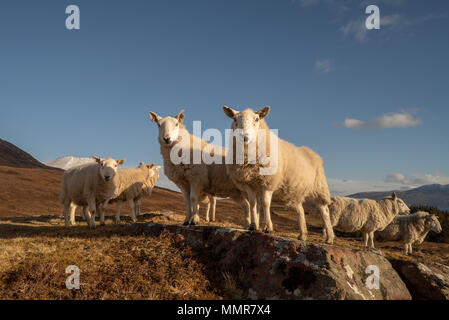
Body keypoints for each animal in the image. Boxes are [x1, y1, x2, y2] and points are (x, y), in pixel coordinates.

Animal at [222, 106, 334, 244]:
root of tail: (312, 153)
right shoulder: (249, 184)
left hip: (319, 187)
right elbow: (253, 204)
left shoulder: (268, 182)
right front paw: (253, 226)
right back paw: (302, 235)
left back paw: (329, 238)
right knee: (300, 210)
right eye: (234, 119)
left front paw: (268, 228)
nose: (244, 136)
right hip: (296, 191)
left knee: (324, 210)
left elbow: (265, 203)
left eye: (257, 119)